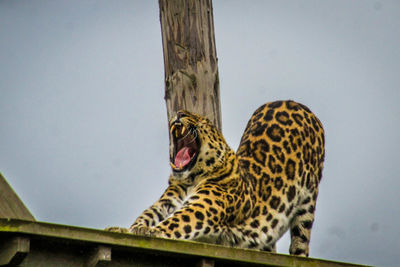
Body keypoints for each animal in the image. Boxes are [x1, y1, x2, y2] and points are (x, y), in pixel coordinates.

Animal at [107, 100, 324, 258]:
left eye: (203, 121)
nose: (179, 113)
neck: (189, 179)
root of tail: (294, 102)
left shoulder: (200, 208)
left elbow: (175, 221)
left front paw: (151, 232)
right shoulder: (167, 201)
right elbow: (148, 214)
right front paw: (126, 229)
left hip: (308, 202)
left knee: (301, 242)